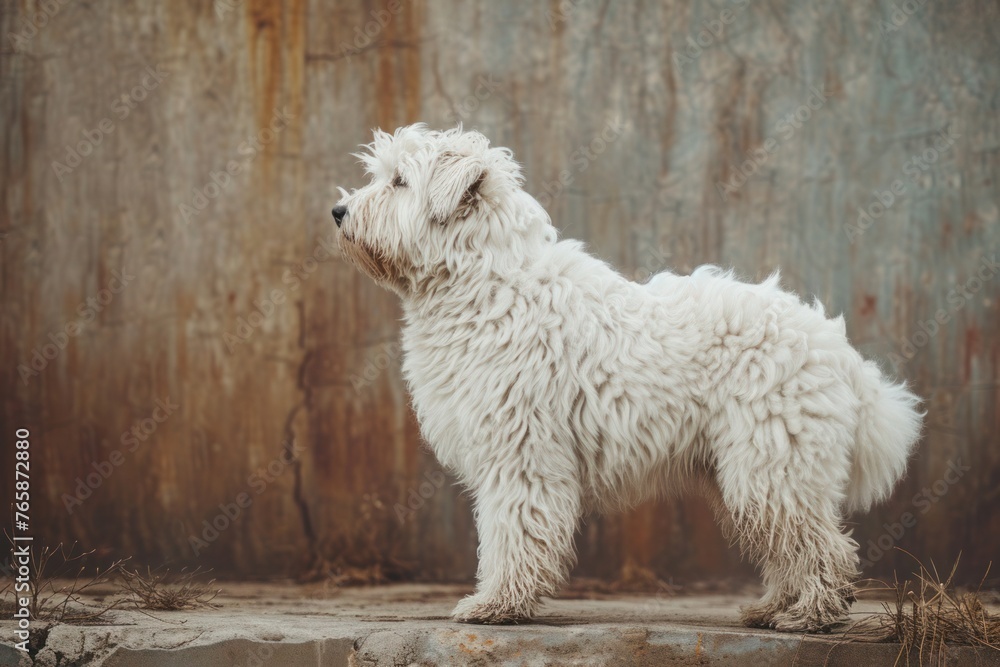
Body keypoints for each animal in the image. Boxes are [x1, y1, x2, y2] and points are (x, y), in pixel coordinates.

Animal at [334, 124, 920, 632]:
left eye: (399, 181)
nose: (338, 211)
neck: (484, 279)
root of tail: (837, 347)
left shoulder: (520, 452)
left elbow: (513, 531)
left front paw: (498, 604)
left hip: (773, 463)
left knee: (824, 547)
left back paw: (812, 615)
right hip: (747, 472)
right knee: (786, 546)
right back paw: (773, 608)